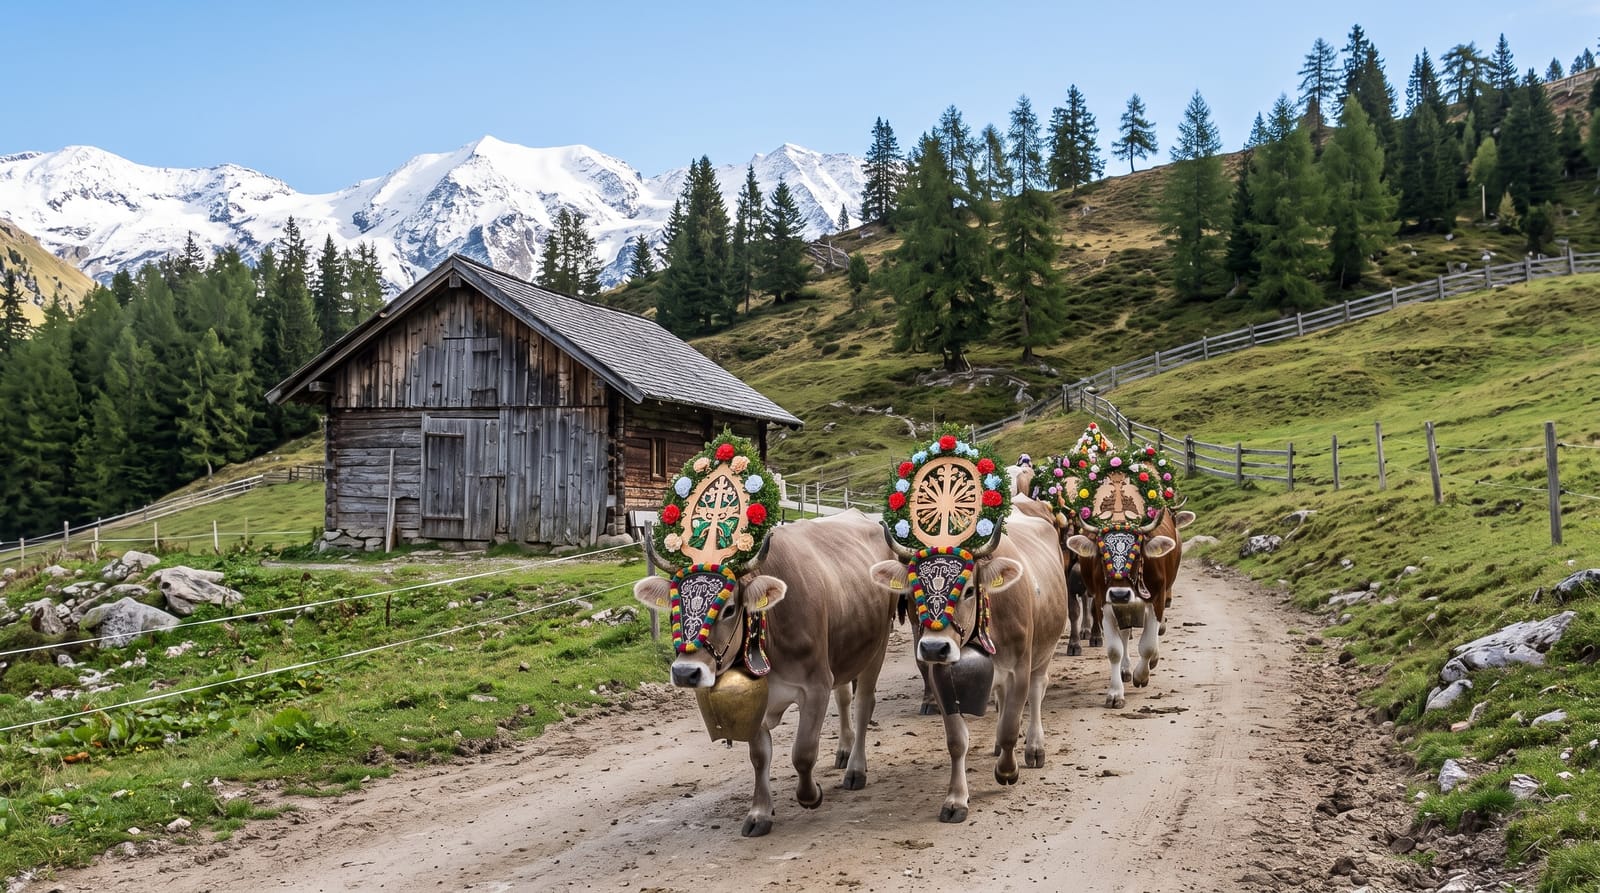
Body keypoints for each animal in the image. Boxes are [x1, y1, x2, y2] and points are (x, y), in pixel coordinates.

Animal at [633, 509, 897, 837]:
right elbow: (759, 757)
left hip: (878, 645)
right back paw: (844, 750)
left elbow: (803, 752)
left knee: (863, 704)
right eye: (673, 608)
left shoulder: (816, 686)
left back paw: (856, 769)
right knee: (845, 696)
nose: (685, 672)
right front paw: (760, 813)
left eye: (729, 609)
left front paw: (810, 796)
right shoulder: (755, 697)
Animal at [870, 499, 1069, 823]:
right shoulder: (940, 676)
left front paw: (1007, 771)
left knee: (1038, 692)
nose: (934, 647)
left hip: (1043, 654)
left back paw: (1034, 748)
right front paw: (955, 800)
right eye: (914, 589)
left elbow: (1011, 726)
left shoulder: (1020, 669)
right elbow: (957, 741)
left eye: (969, 590)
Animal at [1061, 471, 1195, 708]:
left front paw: (1142, 675)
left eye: (1138, 554)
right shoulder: (1104, 603)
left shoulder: (1157, 599)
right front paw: (1115, 693)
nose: (1120, 594)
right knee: (1124, 635)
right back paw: (1124, 670)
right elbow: (1115, 649)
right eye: (1102, 555)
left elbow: (1148, 644)